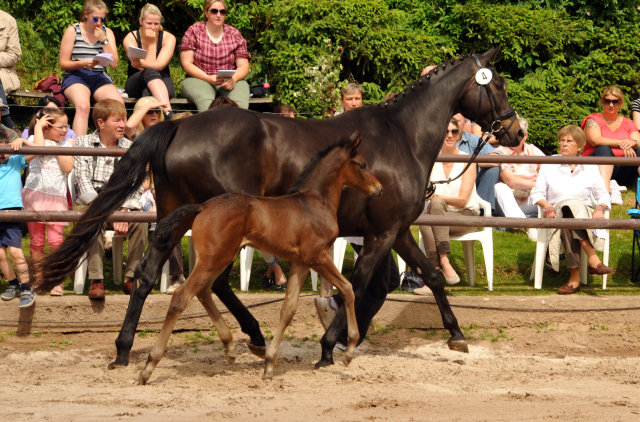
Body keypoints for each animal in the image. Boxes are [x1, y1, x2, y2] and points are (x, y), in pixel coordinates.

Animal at [139, 134, 380, 384]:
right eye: (362, 165)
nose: (379, 189)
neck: (316, 202)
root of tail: (203, 206)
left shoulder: (300, 263)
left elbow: (288, 309)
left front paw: (269, 364)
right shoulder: (318, 257)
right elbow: (348, 289)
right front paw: (349, 351)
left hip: (221, 258)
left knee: (204, 290)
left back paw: (230, 347)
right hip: (213, 259)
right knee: (182, 296)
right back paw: (149, 366)